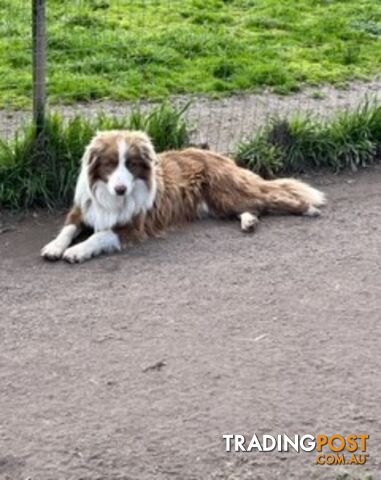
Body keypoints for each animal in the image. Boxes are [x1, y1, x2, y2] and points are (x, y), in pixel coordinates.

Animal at [40, 130, 324, 262]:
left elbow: (99, 235)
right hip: (220, 203)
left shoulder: (133, 227)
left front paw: (77, 251)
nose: (121, 189)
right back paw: (249, 221)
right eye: (110, 164)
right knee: (253, 208)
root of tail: (218, 155)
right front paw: (54, 246)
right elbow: (67, 229)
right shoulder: (82, 209)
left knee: (273, 199)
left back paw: (307, 208)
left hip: (228, 193)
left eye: (130, 164)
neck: (112, 198)